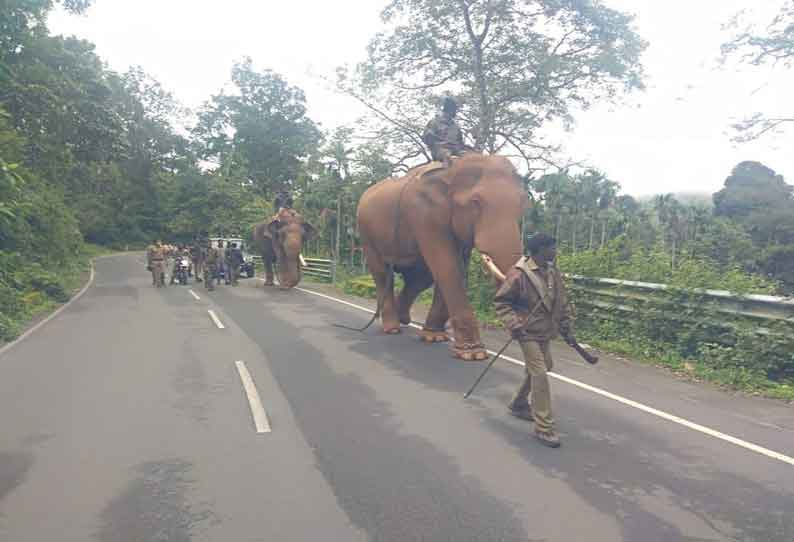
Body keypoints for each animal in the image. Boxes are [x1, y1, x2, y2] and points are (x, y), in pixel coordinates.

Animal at [354, 153, 524, 362]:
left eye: (523, 204)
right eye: (475, 202)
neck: (452, 168)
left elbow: (456, 266)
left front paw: (434, 337)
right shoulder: (424, 214)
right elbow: (447, 265)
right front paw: (473, 353)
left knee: (420, 278)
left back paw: (403, 319)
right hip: (366, 232)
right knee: (382, 274)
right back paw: (392, 328)